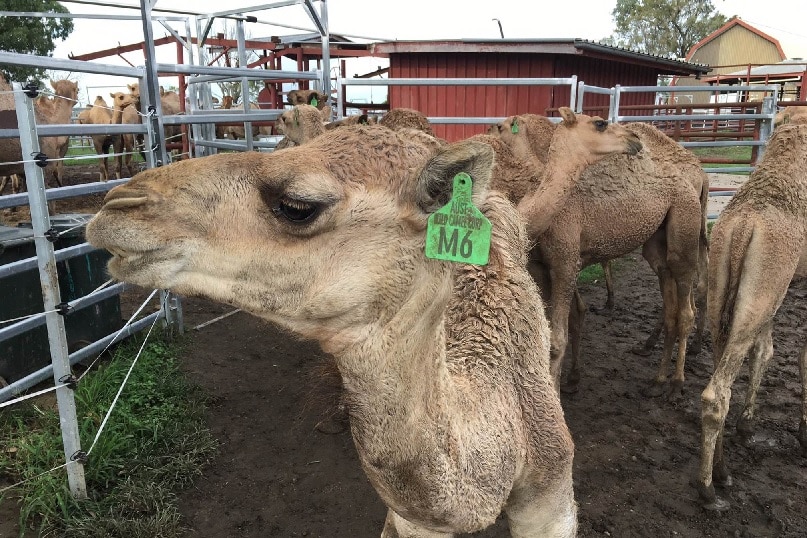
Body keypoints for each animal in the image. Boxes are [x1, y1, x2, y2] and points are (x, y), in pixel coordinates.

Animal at [492, 111, 708, 394]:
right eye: (600, 123)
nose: (634, 139)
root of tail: (699, 174)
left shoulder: (566, 262)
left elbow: (557, 337)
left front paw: (559, 390)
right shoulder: (539, 267)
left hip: (686, 226)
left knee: (686, 307)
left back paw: (676, 383)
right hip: (659, 241)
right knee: (670, 298)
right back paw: (657, 379)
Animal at [696, 119, 807, 508]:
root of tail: (745, 226)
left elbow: (766, 351)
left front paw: (748, 423)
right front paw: (804, 431)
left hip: (726, 288)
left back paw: (723, 471)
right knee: (717, 393)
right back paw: (708, 489)